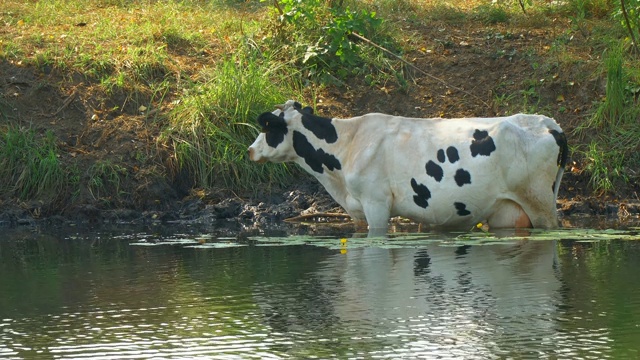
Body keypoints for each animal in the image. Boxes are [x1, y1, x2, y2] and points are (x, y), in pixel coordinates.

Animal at [250, 100, 568, 236]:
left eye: (267, 128)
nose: (250, 150)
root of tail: (546, 122)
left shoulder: (376, 203)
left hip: (540, 203)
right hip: (508, 211)